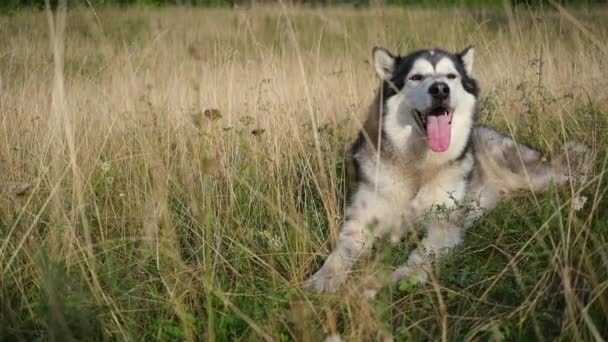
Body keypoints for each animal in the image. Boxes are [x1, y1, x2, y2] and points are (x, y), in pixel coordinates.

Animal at [304, 44, 588, 292]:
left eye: (451, 76)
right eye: (416, 77)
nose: (440, 88)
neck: (418, 166)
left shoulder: (443, 225)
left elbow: (420, 255)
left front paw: (401, 277)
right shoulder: (360, 222)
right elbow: (339, 253)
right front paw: (323, 279)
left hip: (528, 173)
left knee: (566, 173)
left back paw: (577, 198)